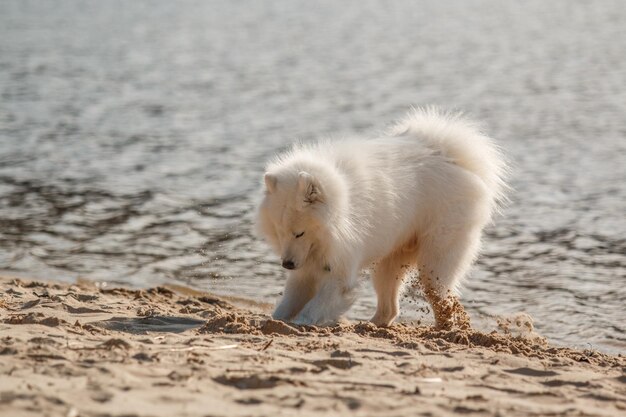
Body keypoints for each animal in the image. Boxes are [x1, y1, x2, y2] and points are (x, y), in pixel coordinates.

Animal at [256, 108, 504, 328]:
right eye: (279, 232)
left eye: (299, 233)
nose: (287, 264)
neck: (341, 206)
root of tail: (448, 155)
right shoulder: (306, 268)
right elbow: (289, 301)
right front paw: (275, 321)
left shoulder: (339, 269)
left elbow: (316, 305)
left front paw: (301, 321)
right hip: (389, 262)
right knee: (391, 307)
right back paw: (370, 325)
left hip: (435, 258)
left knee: (442, 298)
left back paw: (445, 327)